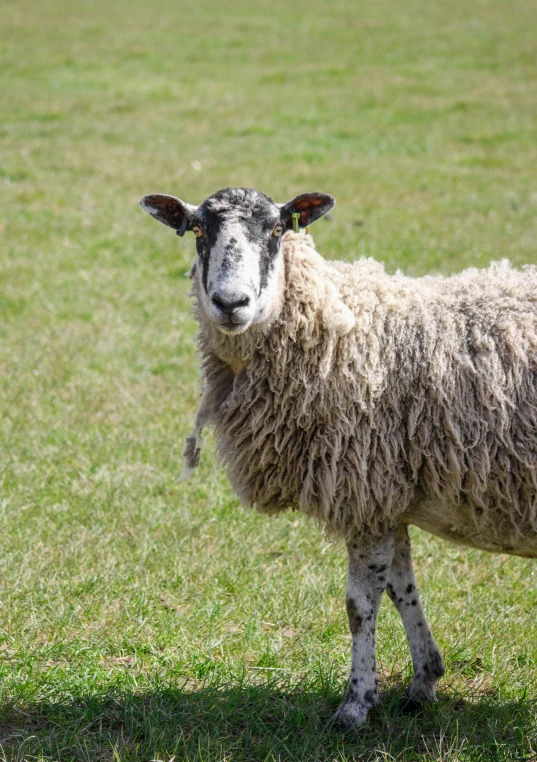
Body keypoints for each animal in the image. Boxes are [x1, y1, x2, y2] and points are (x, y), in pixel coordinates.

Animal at [139, 187, 536, 728]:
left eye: (277, 229)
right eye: (198, 229)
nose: (231, 303)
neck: (341, 330)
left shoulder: (364, 490)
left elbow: (359, 605)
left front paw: (355, 705)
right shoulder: (387, 499)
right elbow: (401, 589)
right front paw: (423, 680)